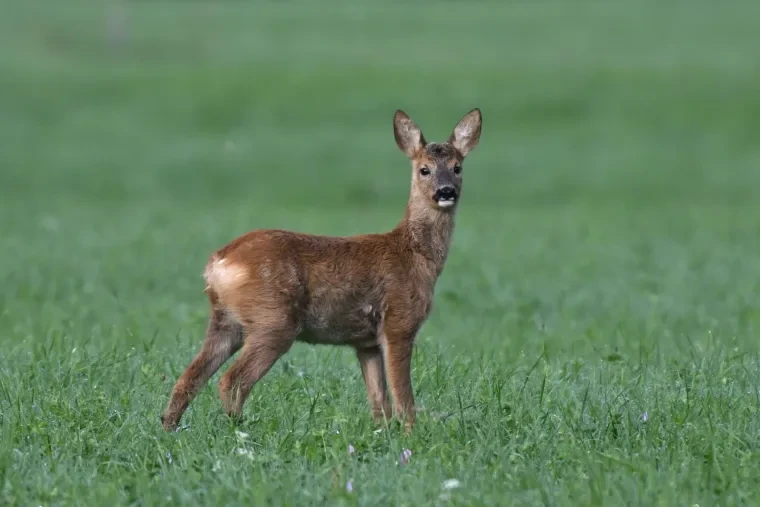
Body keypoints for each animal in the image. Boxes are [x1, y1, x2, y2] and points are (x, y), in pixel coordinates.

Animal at [161, 108, 482, 433]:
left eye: (457, 167)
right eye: (424, 170)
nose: (446, 191)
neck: (414, 254)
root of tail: (219, 261)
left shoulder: (365, 342)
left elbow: (379, 401)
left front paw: (384, 434)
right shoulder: (399, 322)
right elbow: (404, 397)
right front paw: (410, 435)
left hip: (226, 321)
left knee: (188, 378)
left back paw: (169, 429)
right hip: (274, 319)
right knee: (232, 380)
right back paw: (239, 429)